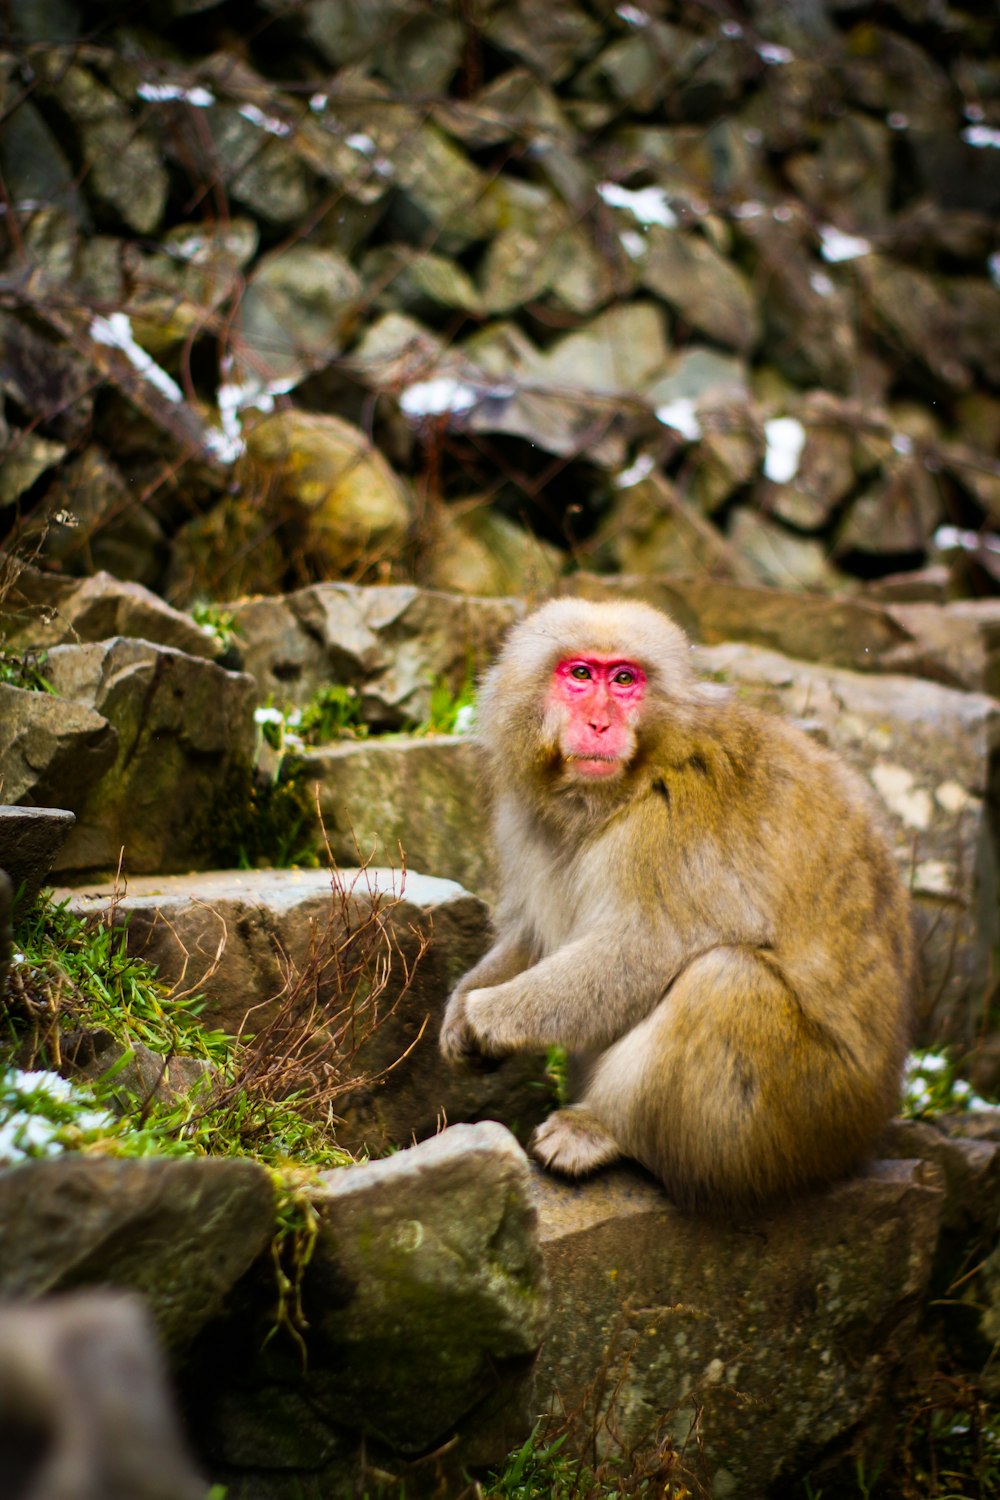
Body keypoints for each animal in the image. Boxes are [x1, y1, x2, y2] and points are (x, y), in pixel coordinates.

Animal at [440, 594, 917, 1206]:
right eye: (580, 674)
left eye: (624, 680)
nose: (600, 723)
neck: (629, 783)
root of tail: (870, 1128)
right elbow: (536, 935)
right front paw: (460, 1011)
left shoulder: (672, 823)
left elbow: (645, 946)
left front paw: (489, 1014)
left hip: (812, 1118)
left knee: (726, 980)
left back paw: (602, 1128)